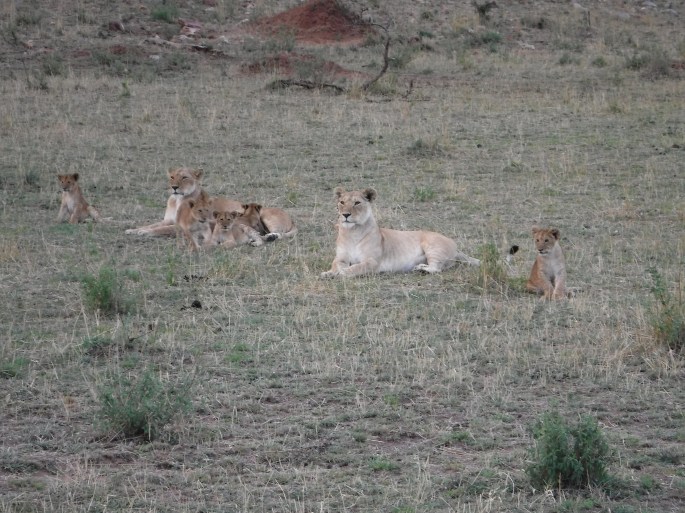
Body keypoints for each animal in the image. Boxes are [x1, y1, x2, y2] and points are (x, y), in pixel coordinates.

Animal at [320, 187, 480, 278]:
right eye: (342, 202)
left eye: (357, 203)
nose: (345, 214)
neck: (352, 232)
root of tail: (455, 245)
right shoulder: (340, 258)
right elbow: (336, 265)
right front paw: (328, 273)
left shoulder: (372, 261)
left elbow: (355, 267)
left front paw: (342, 273)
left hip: (433, 246)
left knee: (437, 268)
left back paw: (421, 269)